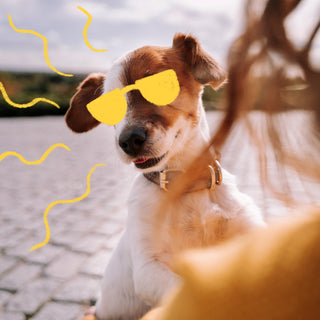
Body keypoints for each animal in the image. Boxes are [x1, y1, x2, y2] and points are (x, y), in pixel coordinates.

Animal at [65, 33, 264, 318]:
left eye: (160, 86)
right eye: (109, 106)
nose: (128, 141)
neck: (187, 186)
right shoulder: (149, 268)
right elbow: (188, 289)